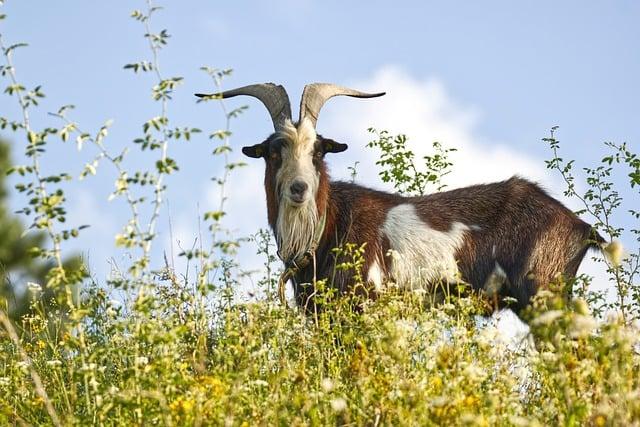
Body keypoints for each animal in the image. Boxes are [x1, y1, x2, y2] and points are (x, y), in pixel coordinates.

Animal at [198, 84, 608, 318]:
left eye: (318, 150)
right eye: (273, 151)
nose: (298, 188)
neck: (328, 226)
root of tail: (580, 227)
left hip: (543, 294)